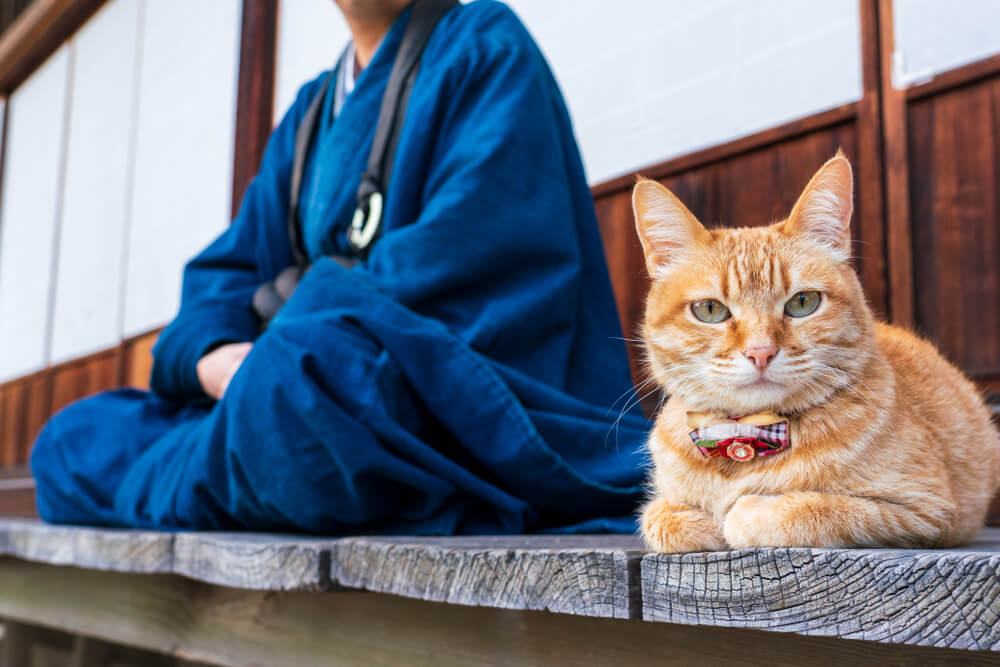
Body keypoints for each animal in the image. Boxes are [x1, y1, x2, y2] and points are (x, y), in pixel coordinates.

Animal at [632, 153, 1000, 552]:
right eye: (710, 310)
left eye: (803, 303)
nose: (761, 353)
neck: (745, 433)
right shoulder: (663, 503)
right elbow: (660, 517)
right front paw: (701, 522)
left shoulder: (924, 512)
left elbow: (808, 510)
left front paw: (740, 514)